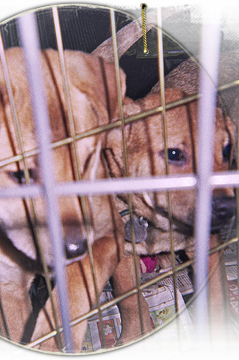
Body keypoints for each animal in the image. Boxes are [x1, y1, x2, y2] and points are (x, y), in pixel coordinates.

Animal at [0, 47, 126, 358]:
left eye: (86, 161)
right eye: (20, 175)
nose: (74, 248)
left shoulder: (110, 234)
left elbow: (79, 275)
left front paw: (53, 341)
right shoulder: (7, 287)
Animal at [105, 88, 238, 360]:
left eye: (226, 150)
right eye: (174, 154)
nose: (228, 208)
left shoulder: (208, 249)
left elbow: (217, 302)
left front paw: (221, 346)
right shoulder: (122, 253)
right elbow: (130, 301)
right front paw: (135, 344)